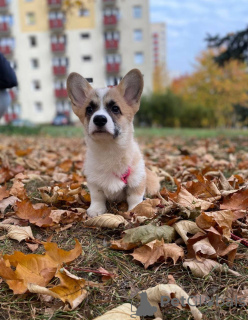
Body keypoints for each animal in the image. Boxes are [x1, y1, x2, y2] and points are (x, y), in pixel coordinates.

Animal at [67, 68, 160, 216]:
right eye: (89, 109)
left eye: (115, 109)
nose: (99, 119)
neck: (109, 149)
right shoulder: (94, 182)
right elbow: (97, 196)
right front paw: (96, 209)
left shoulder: (136, 180)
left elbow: (135, 197)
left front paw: (136, 209)